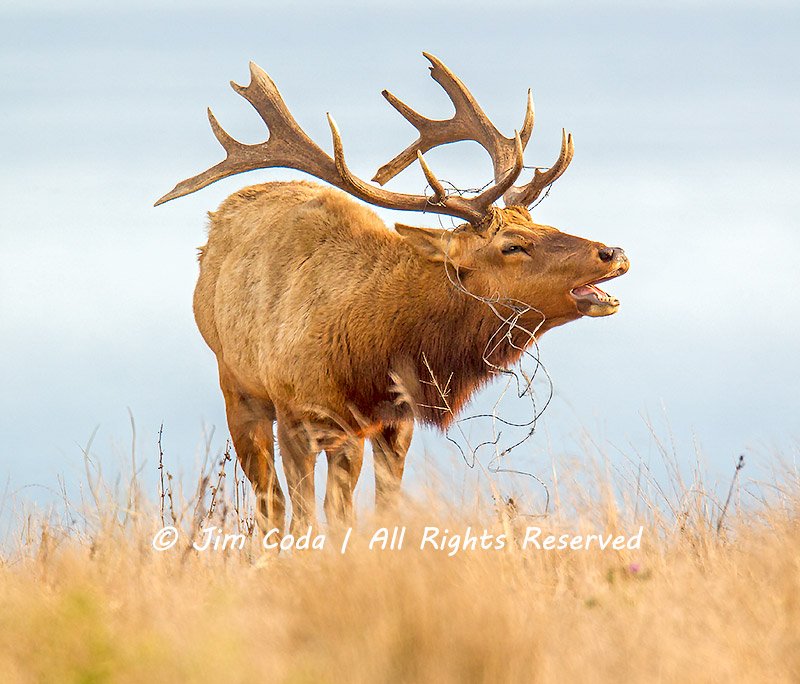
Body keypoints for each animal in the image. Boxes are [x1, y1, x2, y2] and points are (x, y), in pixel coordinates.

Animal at [155, 53, 629, 534]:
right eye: (511, 245)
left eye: (540, 222)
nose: (614, 253)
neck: (372, 347)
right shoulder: (299, 414)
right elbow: (304, 515)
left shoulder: (392, 421)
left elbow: (375, 508)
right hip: (238, 387)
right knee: (271, 503)